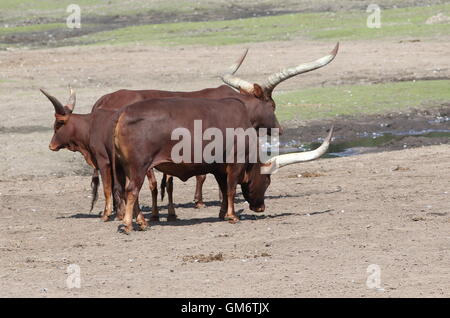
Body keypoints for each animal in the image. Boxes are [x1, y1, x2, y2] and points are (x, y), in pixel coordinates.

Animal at [111, 97, 330, 234]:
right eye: (267, 181)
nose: (260, 208)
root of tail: (124, 113)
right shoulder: (235, 163)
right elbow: (232, 188)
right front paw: (232, 216)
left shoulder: (219, 168)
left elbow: (224, 190)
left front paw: (223, 213)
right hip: (139, 166)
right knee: (132, 191)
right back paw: (129, 224)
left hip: (131, 168)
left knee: (133, 192)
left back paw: (142, 222)